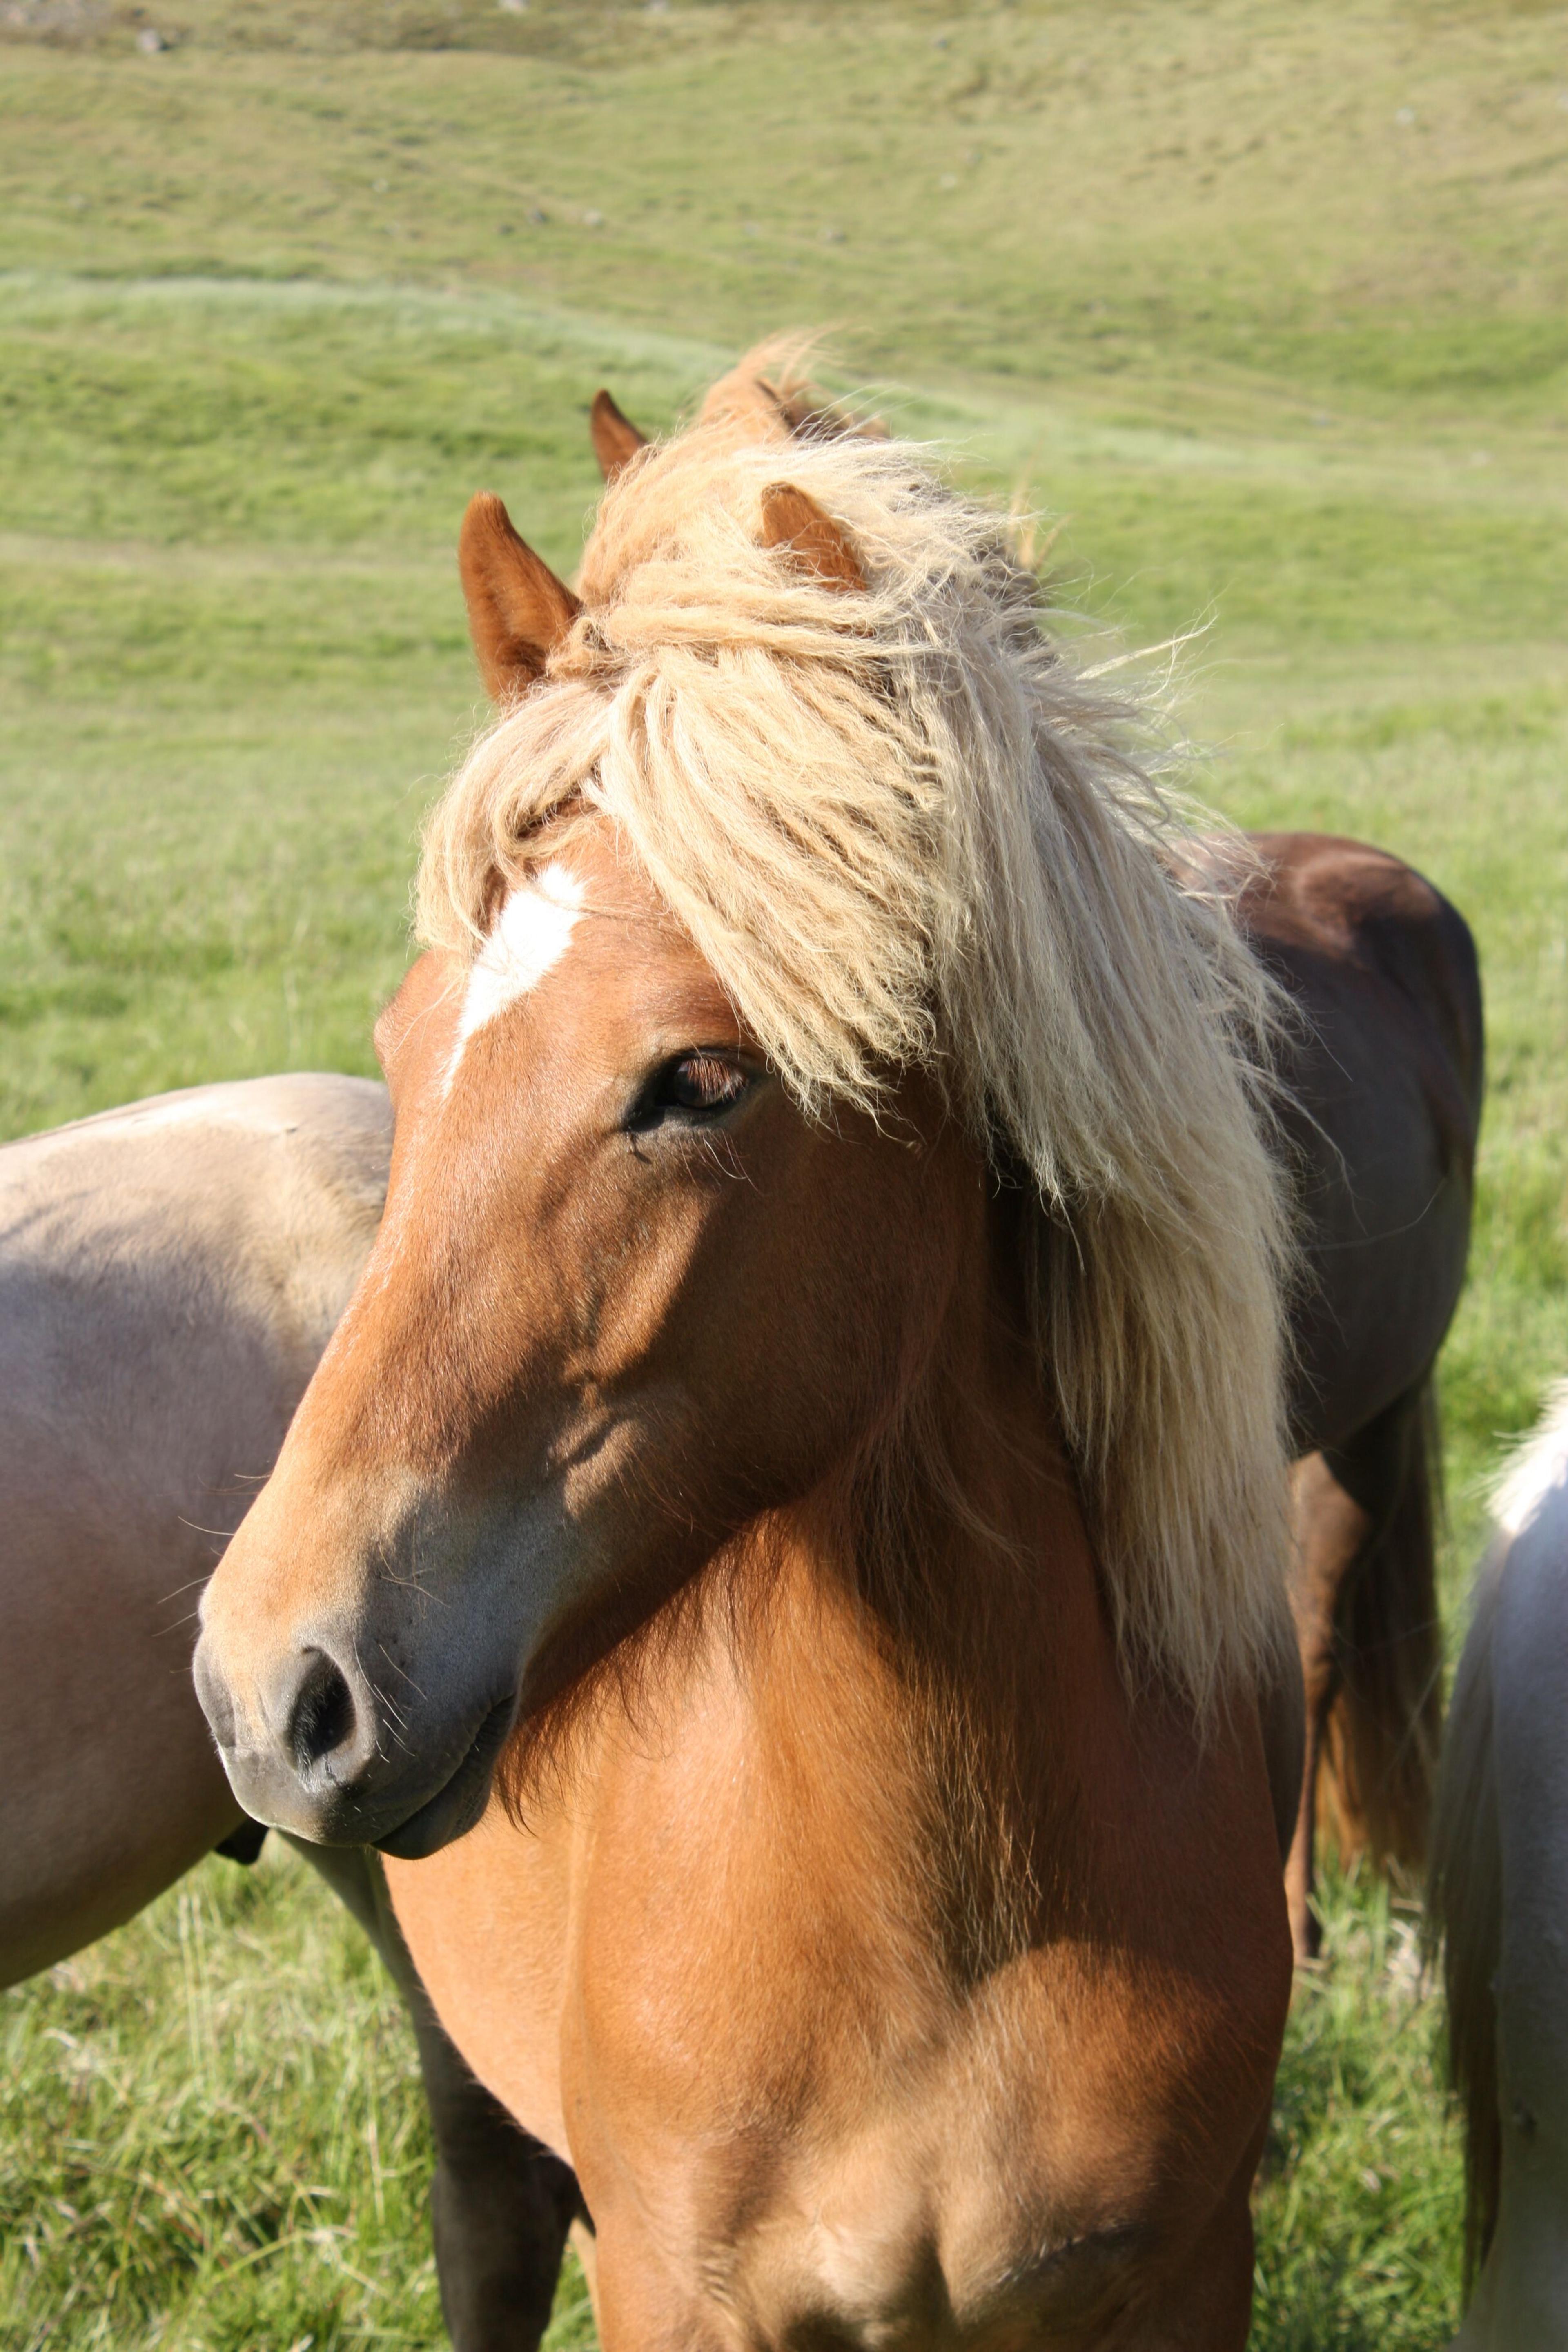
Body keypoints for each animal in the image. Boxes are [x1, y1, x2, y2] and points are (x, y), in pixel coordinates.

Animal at [196, 353, 1307, 2352]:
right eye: (405, 1041)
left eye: (699, 1076)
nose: (272, 1685)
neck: (952, 1938)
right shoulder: (677, 2287)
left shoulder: (1180, 2276)